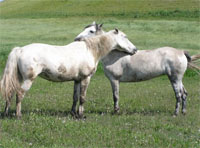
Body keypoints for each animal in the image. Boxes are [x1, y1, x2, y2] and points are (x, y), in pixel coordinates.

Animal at [0, 28, 138, 118]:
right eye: (125, 36)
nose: (135, 50)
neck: (90, 50)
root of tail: (20, 50)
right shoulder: (86, 78)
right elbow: (82, 97)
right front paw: (81, 115)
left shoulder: (77, 80)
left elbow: (75, 97)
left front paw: (73, 113)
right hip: (28, 79)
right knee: (19, 94)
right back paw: (18, 115)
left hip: (18, 78)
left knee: (10, 93)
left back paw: (6, 113)